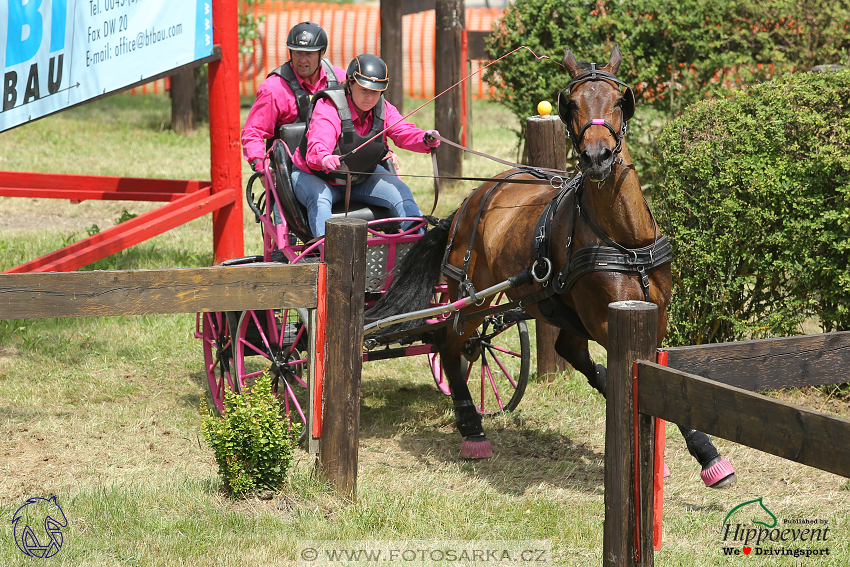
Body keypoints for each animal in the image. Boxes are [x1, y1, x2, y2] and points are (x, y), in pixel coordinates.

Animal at [368, 45, 732, 488]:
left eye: (619, 101)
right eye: (570, 104)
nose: (596, 157)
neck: (624, 239)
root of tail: (470, 201)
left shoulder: (656, 315)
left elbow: (661, 382)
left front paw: (703, 455)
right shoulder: (607, 320)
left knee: (558, 350)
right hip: (470, 300)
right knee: (449, 344)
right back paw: (472, 428)